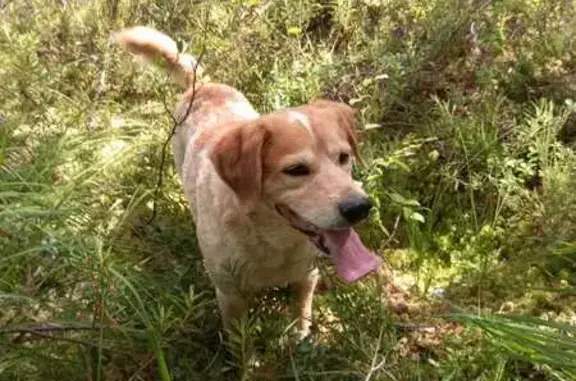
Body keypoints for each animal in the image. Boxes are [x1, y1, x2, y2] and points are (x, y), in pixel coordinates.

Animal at [114, 25, 380, 336]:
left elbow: (301, 314)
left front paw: (301, 338)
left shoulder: (306, 276)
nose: (360, 208)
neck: (273, 241)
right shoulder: (230, 296)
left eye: (344, 157)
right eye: (296, 170)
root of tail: (202, 85)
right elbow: (239, 341)